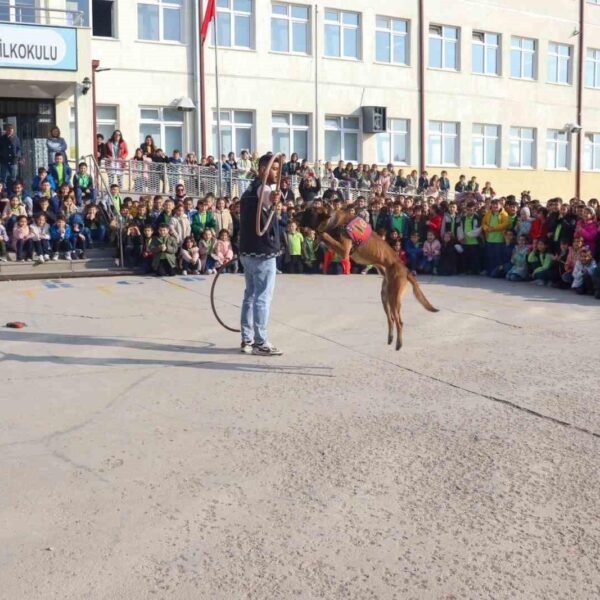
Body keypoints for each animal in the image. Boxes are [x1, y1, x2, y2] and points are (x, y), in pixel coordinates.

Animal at [302, 204, 438, 350]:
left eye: (308, 212)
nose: (295, 215)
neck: (335, 220)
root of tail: (406, 270)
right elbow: (323, 236)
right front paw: (316, 241)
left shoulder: (344, 250)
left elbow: (324, 234)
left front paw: (319, 235)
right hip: (385, 296)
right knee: (391, 319)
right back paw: (390, 338)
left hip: (393, 297)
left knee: (399, 321)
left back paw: (398, 343)